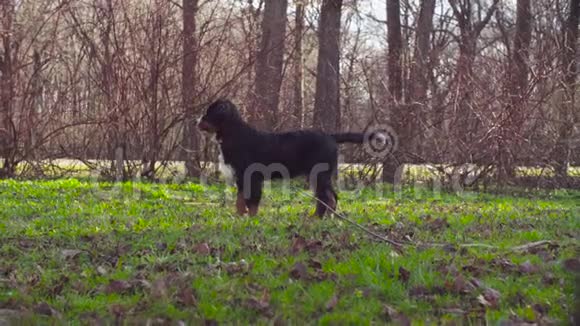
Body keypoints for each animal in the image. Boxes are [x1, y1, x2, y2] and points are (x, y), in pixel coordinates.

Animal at [198, 99, 386, 216]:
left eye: (209, 112)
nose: (197, 120)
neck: (235, 133)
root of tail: (330, 136)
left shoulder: (252, 177)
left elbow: (252, 202)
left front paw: (251, 220)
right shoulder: (241, 177)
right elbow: (240, 201)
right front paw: (239, 219)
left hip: (318, 175)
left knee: (326, 198)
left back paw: (316, 220)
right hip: (321, 176)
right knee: (330, 198)